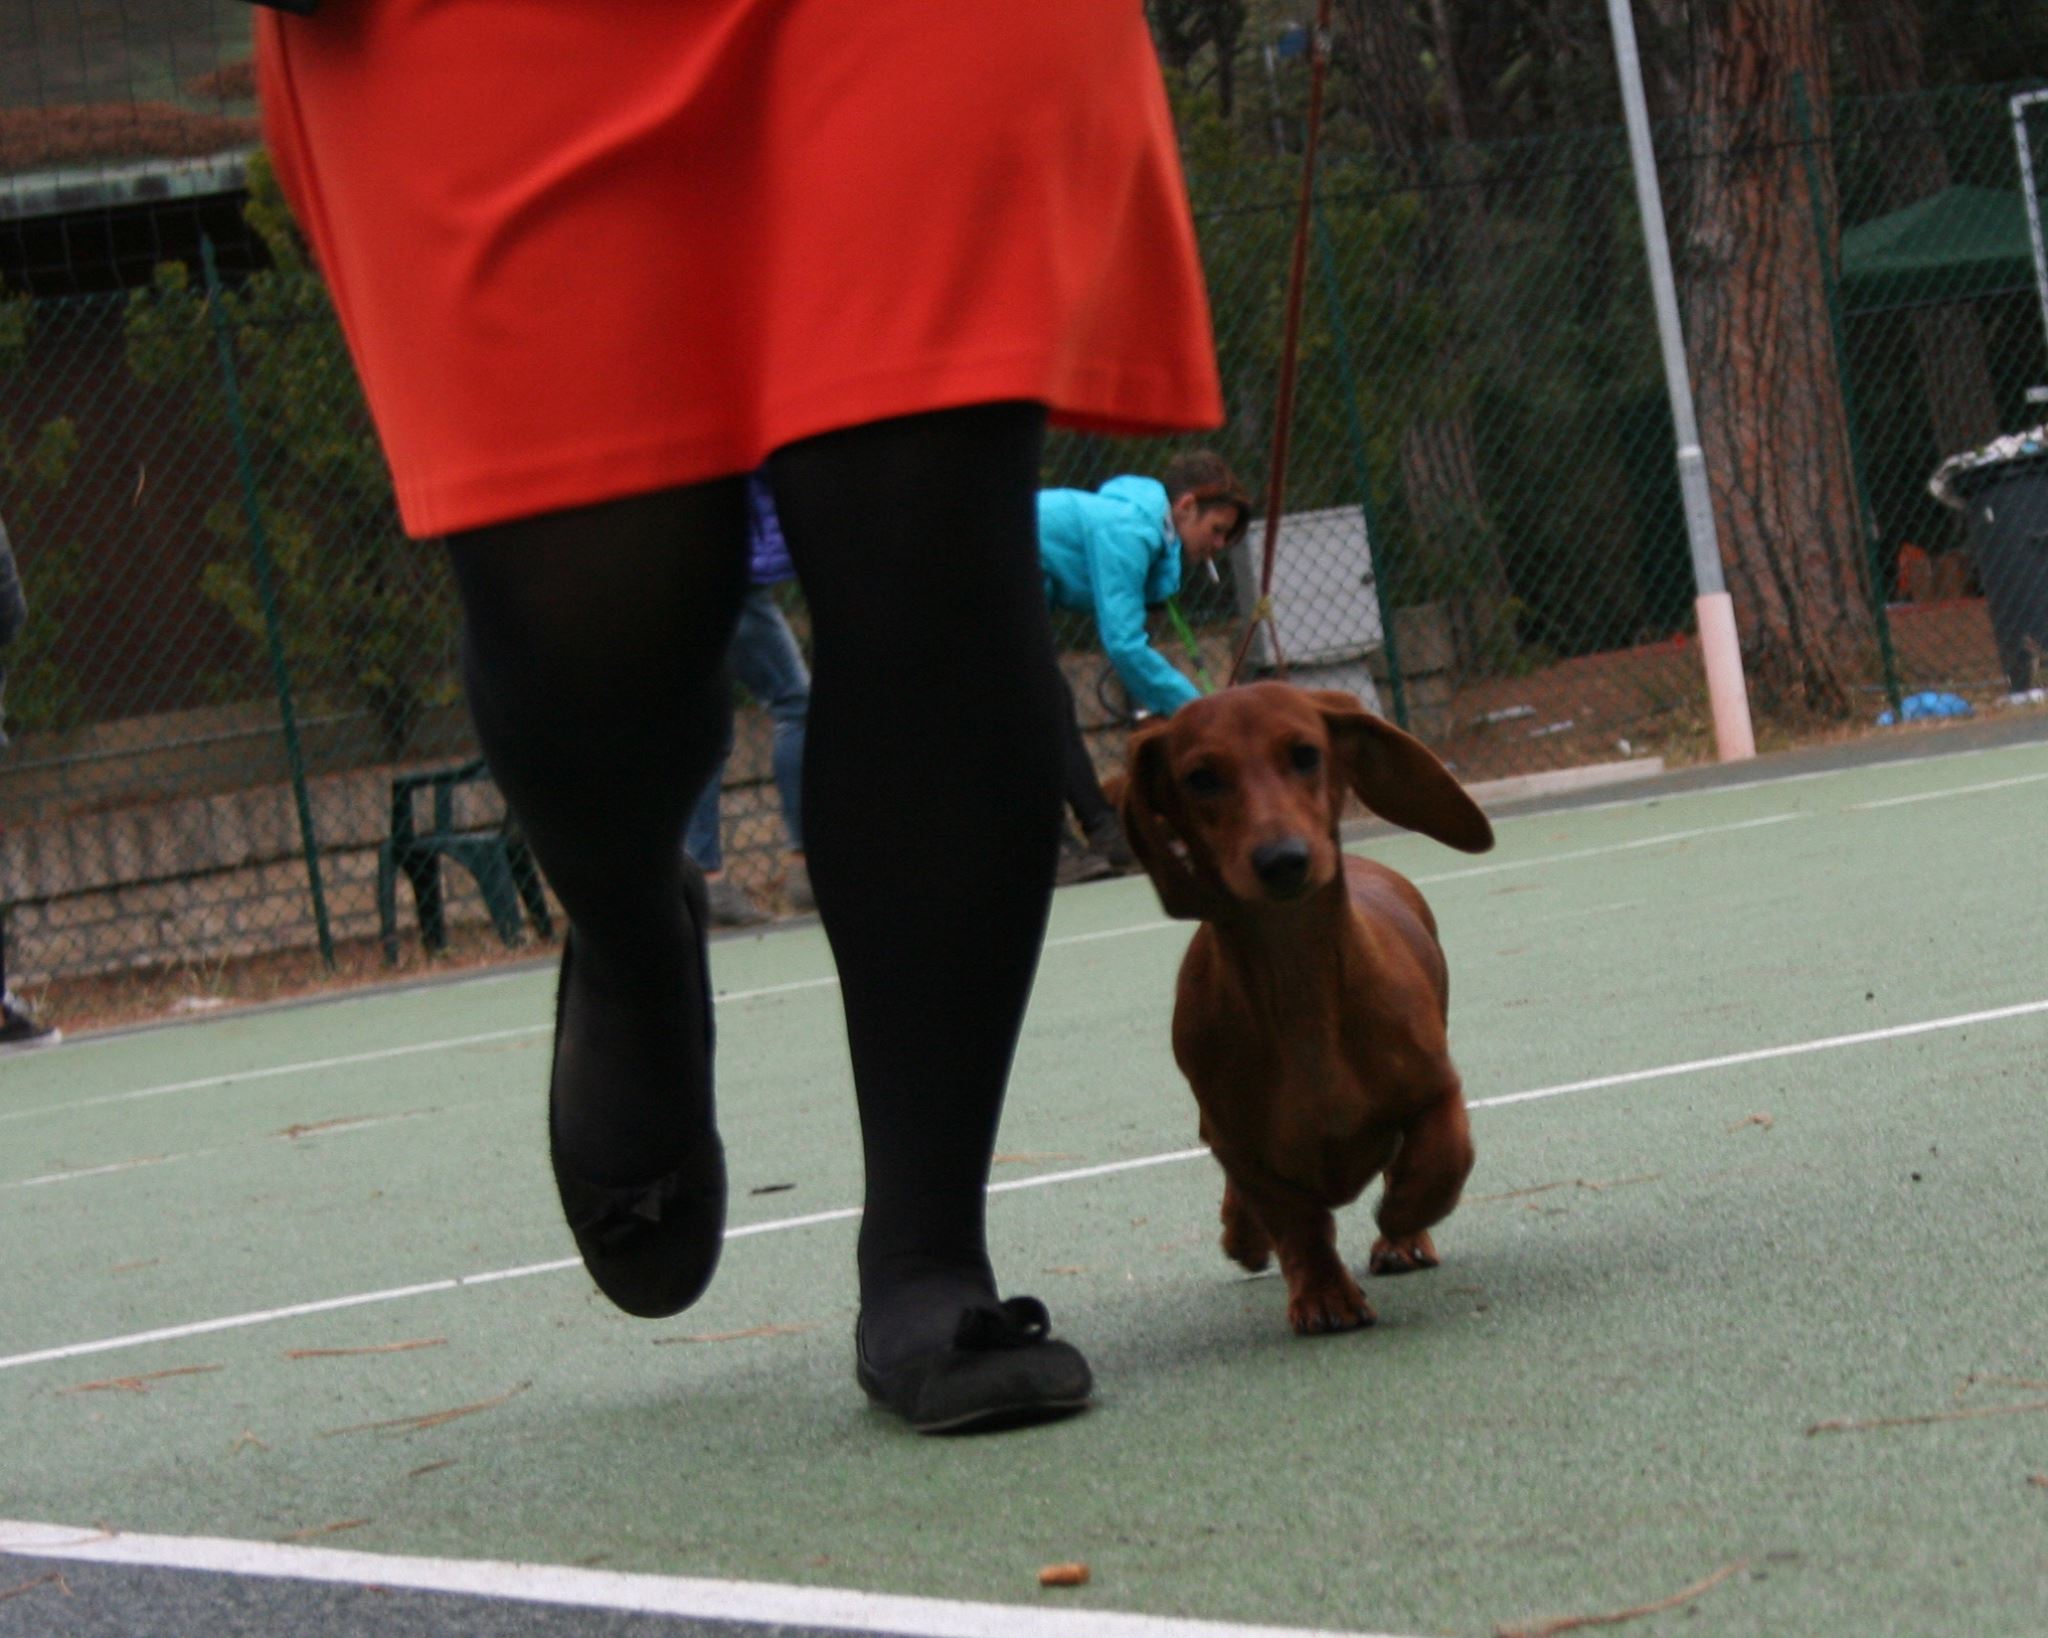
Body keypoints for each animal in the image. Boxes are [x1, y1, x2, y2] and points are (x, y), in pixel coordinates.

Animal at [1114, 679, 1499, 1326]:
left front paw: (1402, 1221)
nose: (1283, 860)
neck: (1301, 986)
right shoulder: (1239, 1143)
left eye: (1305, 754)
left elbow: (1442, 1158)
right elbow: (1295, 1219)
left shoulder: (1437, 1089)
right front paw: (1323, 1293)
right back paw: (1243, 1235)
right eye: (1201, 778)